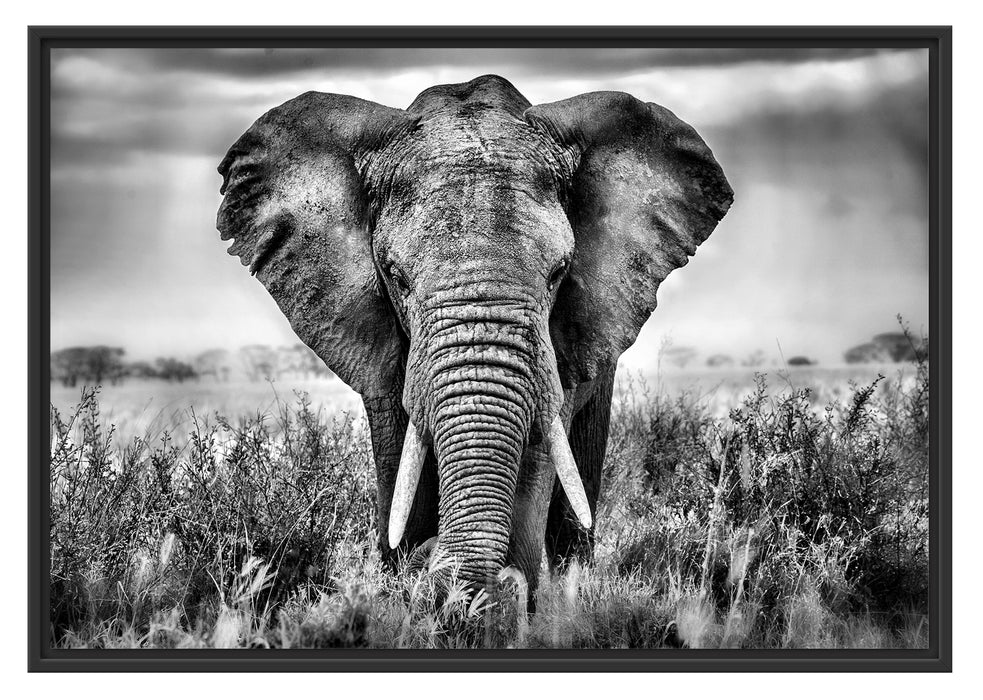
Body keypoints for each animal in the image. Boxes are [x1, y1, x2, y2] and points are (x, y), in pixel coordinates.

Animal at [216, 75, 733, 598]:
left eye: (559, 274)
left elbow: (537, 453)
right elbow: (399, 459)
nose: (434, 562)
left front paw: (503, 597)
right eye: (396, 276)